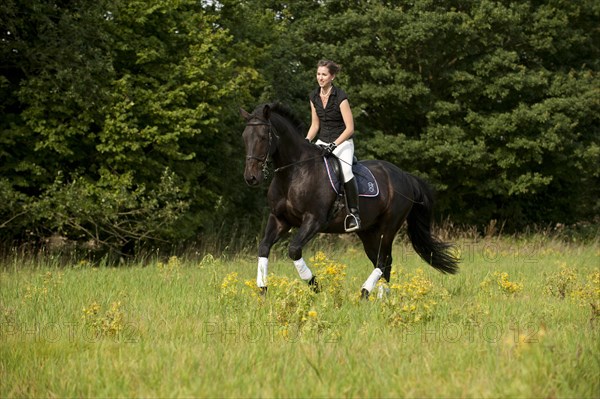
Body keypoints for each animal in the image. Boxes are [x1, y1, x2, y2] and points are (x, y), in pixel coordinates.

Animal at [241, 103, 458, 296]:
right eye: (244, 137)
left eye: (263, 137)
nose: (251, 178)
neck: (294, 172)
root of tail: (405, 176)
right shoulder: (280, 219)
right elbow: (264, 247)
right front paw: (262, 289)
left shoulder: (314, 220)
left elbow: (294, 250)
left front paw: (315, 286)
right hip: (368, 232)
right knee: (383, 261)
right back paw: (381, 297)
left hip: (387, 228)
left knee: (382, 261)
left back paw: (365, 292)